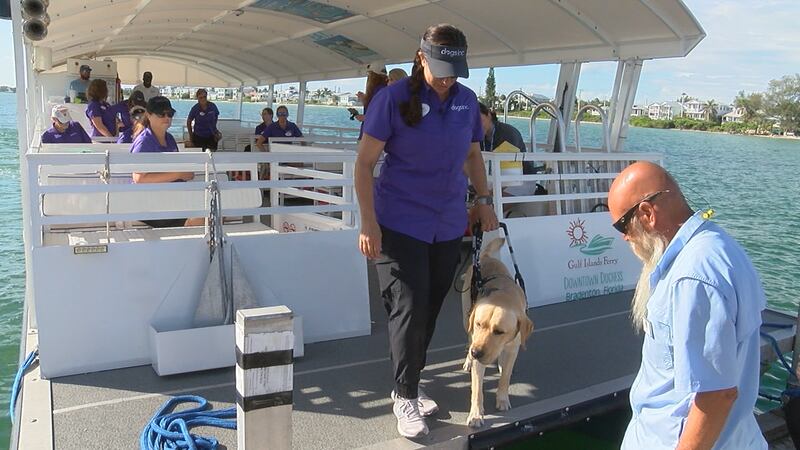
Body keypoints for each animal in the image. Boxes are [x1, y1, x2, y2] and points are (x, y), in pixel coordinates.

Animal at [460, 237, 536, 428]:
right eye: (479, 324)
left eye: (499, 331)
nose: (476, 353)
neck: (503, 295)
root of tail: (485, 256)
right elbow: (477, 389)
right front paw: (476, 415)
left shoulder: (513, 347)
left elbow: (505, 377)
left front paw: (502, 399)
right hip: (466, 319)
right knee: (468, 337)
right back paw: (468, 360)